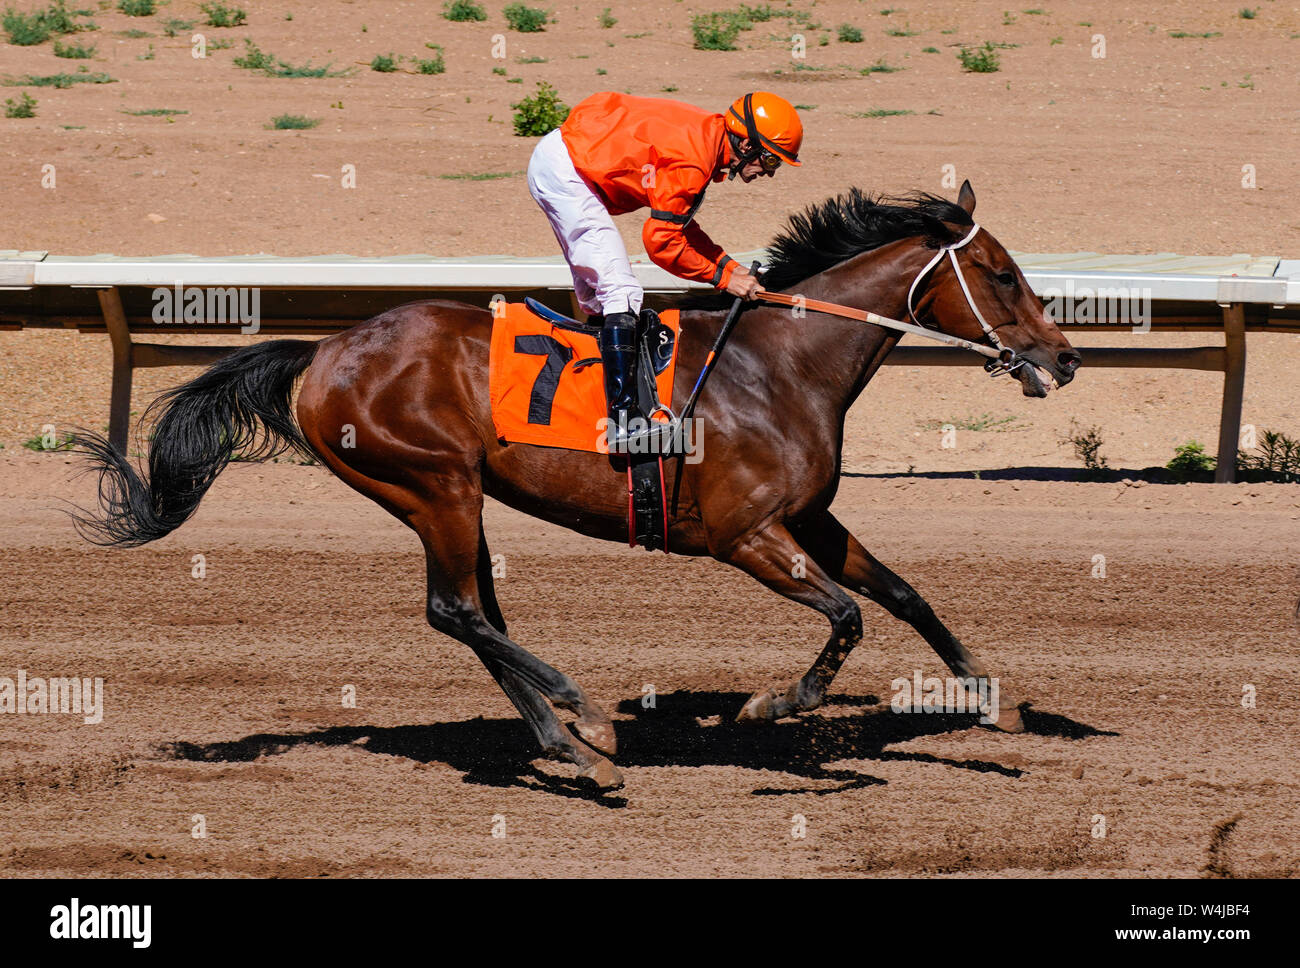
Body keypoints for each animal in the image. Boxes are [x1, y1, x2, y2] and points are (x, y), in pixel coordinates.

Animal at [73, 183, 1086, 795]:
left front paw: (997, 700)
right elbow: (847, 616)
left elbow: (905, 595)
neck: (785, 364)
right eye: (1001, 274)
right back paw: (587, 720)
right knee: (455, 610)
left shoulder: (810, 516)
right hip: (433, 483)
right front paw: (772, 706)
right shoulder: (745, 536)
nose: (1065, 357)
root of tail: (323, 351)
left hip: (447, 495)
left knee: (473, 613)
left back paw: (570, 744)